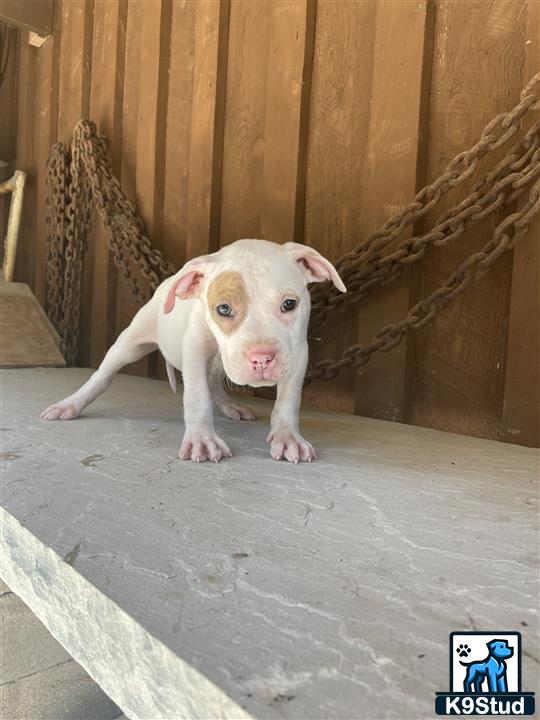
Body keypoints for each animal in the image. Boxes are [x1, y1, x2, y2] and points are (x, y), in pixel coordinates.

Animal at [41, 239, 346, 464]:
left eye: (289, 304)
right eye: (223, 308)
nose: (262, 358)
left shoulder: (298, 352)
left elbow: (288, 400)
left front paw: (287, 437)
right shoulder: (195, 351)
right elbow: (197, 397)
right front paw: (202, 439)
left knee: (215, 384)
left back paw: (233, 407)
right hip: (130, 343)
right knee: (102, 376)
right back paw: (70, 404)